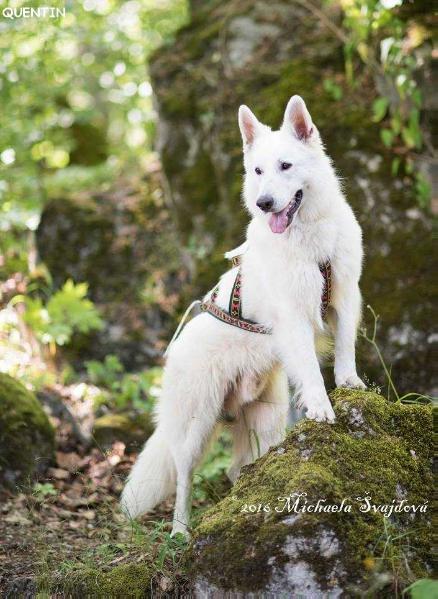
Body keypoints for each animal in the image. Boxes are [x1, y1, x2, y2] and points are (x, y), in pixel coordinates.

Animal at [121, 95, 364, 540]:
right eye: (257, 171)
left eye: (285, 165)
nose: (264, 204)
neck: (308, 238)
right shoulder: (293, 318)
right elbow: (312, 370)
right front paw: (322, 406)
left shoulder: (345, 295)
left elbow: (344, 349)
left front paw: (350, 382)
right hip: (197, 424)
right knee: (184, 478)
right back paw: (181, 533)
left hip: (265, 421)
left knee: (238, 468)